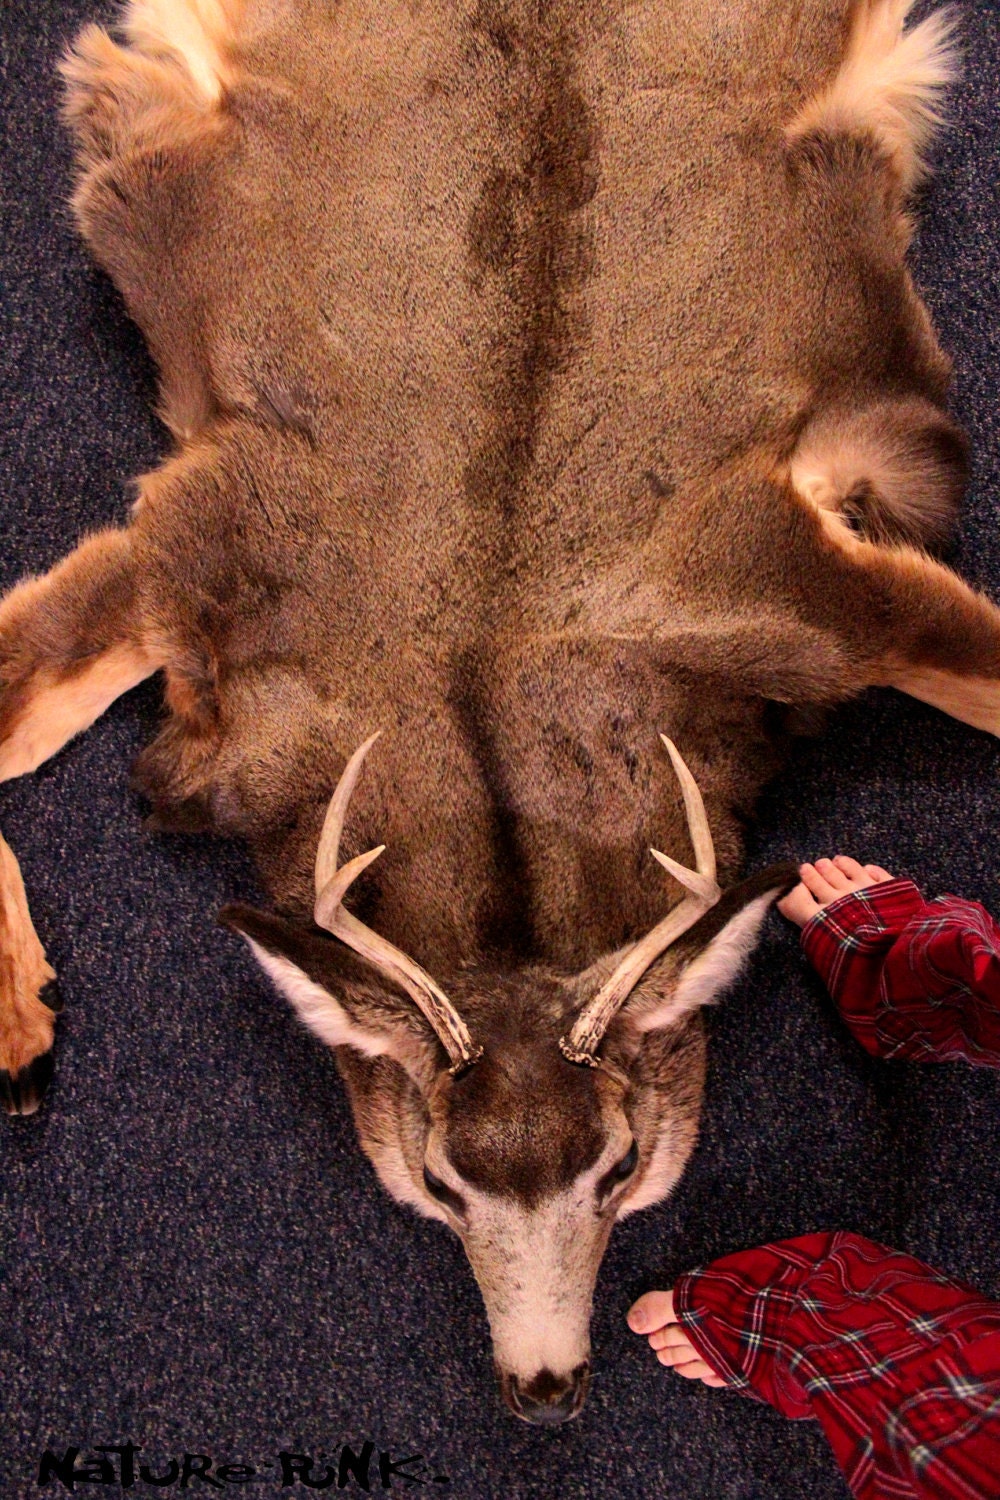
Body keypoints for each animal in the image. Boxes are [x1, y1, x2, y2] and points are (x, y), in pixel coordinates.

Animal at [1, 0, 998, 1424]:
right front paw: (20, 1016)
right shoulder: (193, 546)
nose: (546, 1388)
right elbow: (20, 696)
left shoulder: (799, 584)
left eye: (621, 1166)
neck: (485, 698)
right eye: (437, 1181)